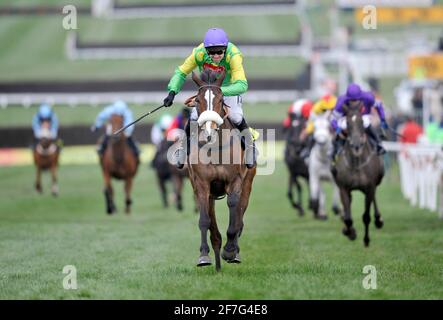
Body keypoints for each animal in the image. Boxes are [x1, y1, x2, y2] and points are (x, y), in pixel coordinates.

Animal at [184, 69, 256, 272]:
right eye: (197, 100)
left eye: (221, 99)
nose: (209, 132)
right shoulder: (201, 184)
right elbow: (204, 220)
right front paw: (203, 256)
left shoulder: (235, 181)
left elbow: (234, 209)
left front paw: (230, 251)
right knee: (212, 222)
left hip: (248, 183)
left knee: (240, 212)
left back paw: (234, 250)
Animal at [332, 104, 386, 246]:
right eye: (347, 123)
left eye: (362, 121)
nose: (356, 144)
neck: (356, 163)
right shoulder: (344, 188)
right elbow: (348, 218)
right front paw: (350, 232)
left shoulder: (369, 186)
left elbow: (366, 216)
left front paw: (366, 240)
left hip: (375, 182)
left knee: (374, 197)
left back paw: (378, 219)